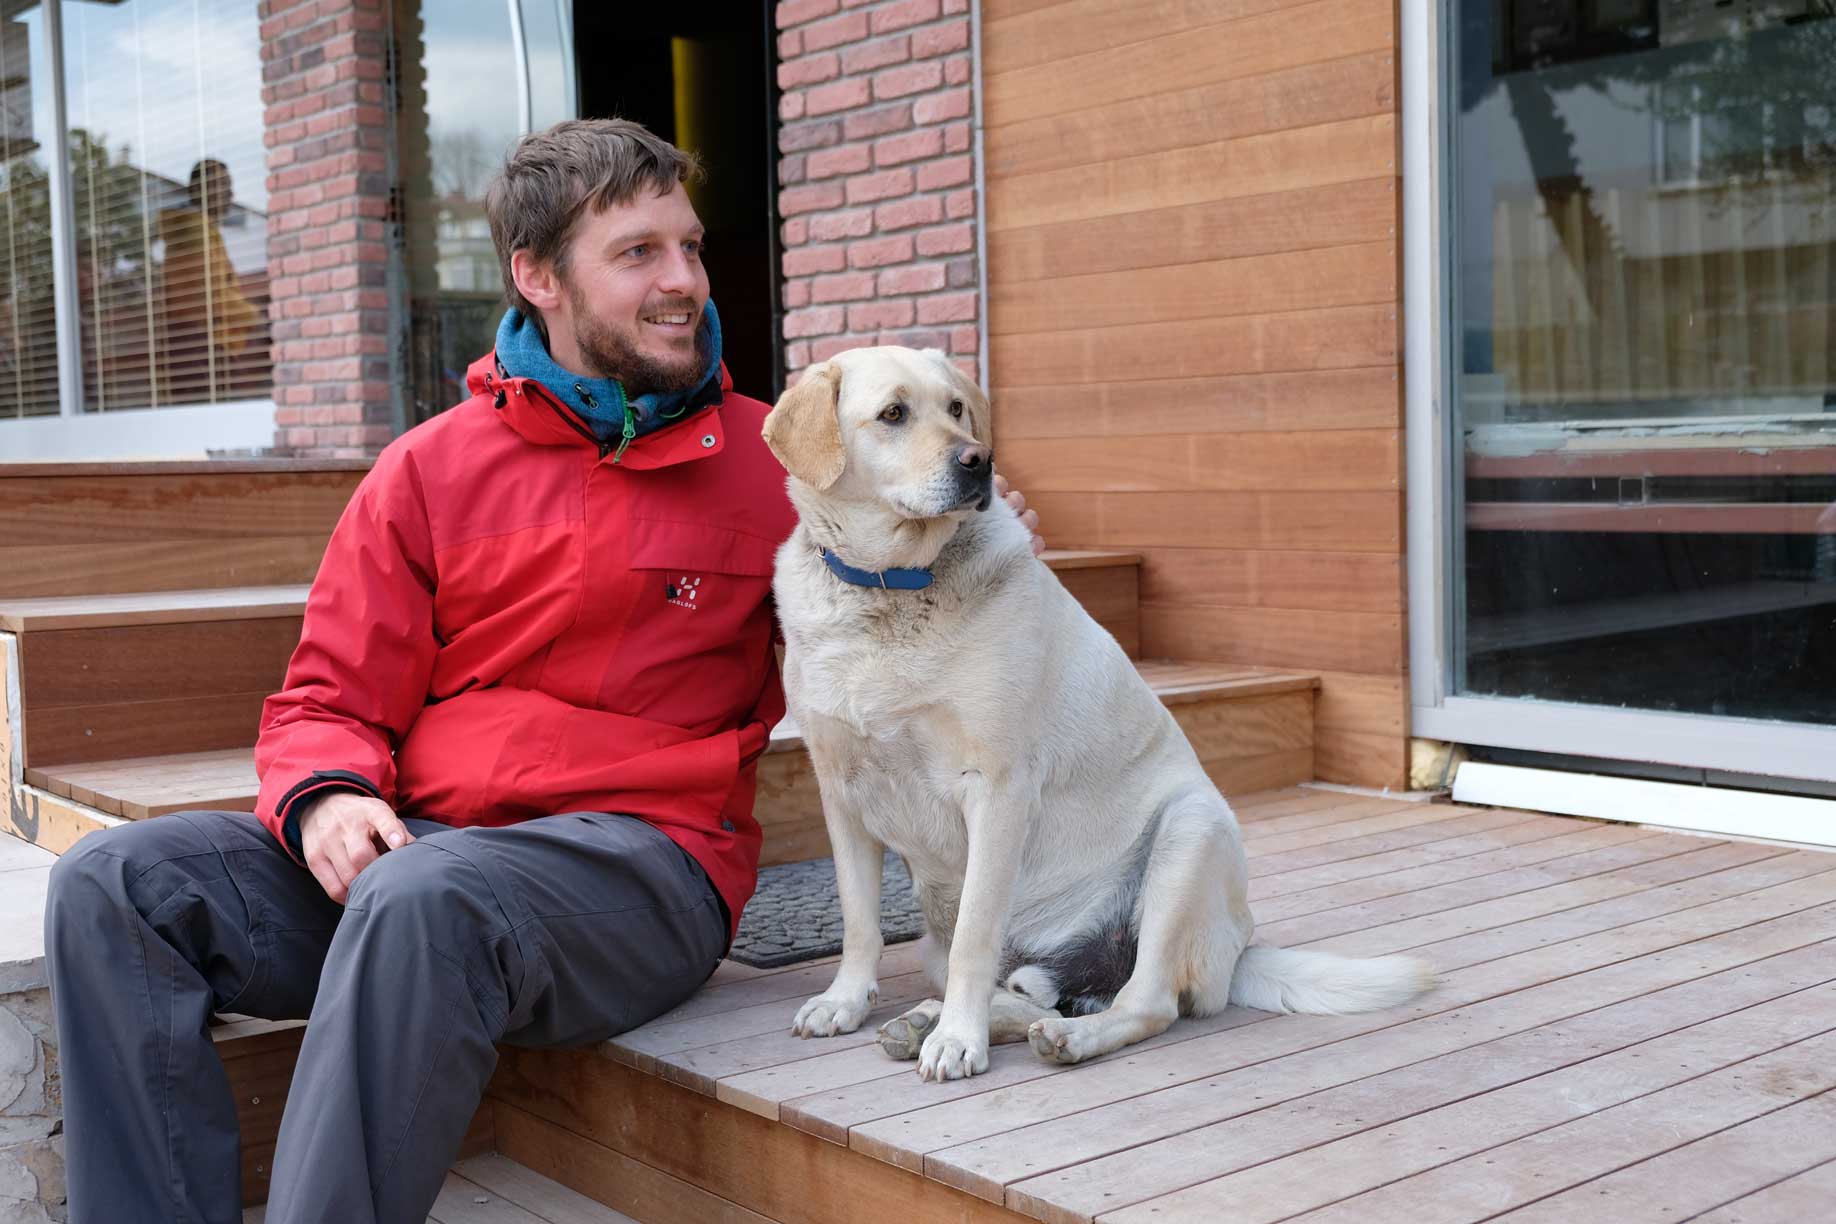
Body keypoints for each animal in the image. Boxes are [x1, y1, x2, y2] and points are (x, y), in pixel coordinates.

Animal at [760, 346, 1432, 1079]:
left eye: (957, 407)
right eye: (892, 414)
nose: (979, 461)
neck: (889, 590)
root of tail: (1240, 948)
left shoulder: (996, 790)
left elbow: (975, 936)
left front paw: (959, 1041)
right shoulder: (842, 792)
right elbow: (860, 922)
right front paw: (846, 1002)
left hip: (1190, 833)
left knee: (1146, 1002)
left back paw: (1058, 1037)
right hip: (963, 940)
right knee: (1027, 995)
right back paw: (931, 1021)